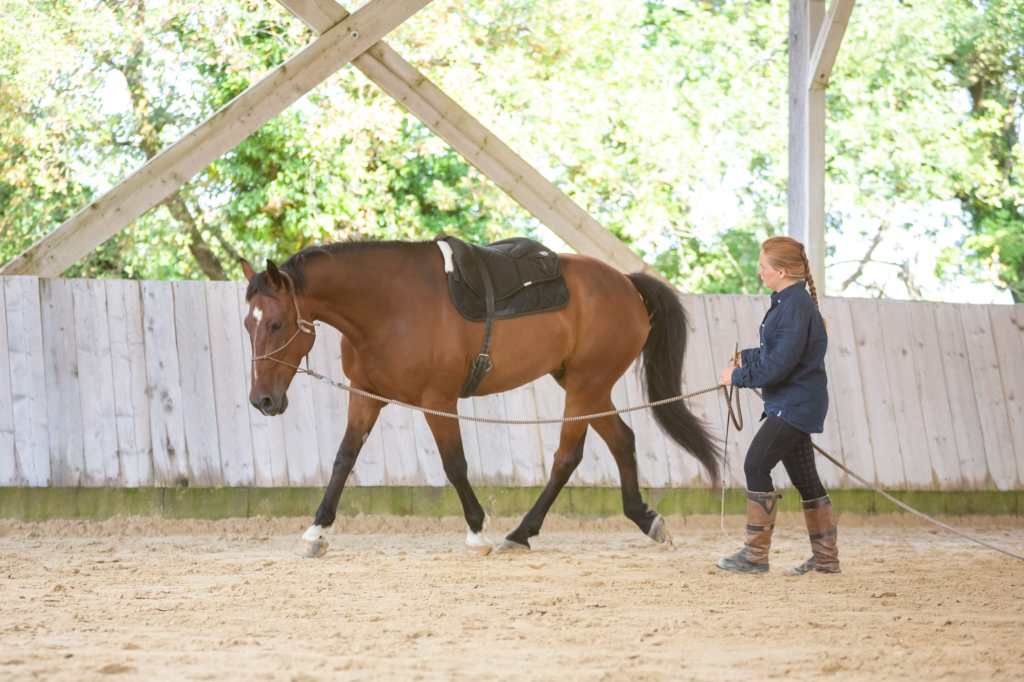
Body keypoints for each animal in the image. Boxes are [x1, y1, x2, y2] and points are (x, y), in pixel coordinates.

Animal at [240, 239, 719, 557]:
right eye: (249, 324)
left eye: (277, 324)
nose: (262, 400)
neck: (390, 306)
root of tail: (627, 284)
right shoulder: (366, 398)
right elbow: (344, 459)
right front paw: (317, 531)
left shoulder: (438, 401)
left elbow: (455, 464)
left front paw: (478, 530)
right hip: (588, 387)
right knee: (622, 440)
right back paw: (645, 518)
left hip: (586, 386)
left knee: (567, 457)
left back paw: (521, 533)